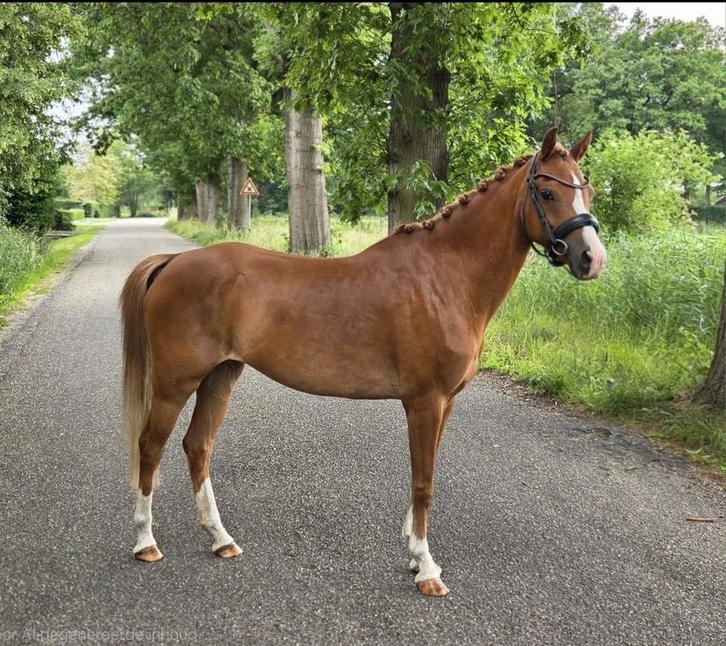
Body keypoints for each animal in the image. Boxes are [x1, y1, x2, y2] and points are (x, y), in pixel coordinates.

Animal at [120, 127, 606, 597]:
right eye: (547, 193)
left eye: (588, 189)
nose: (592, 259)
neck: (444, 277)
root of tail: (174, 262)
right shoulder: (425, 401)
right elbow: (424, 482)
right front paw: (426, 569)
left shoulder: (444, 403)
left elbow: (424, 476)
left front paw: (415, 555)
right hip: (174, 383)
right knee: (150, 446)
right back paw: (146, 543)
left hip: (221, 376)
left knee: (197, 445)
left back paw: (221, 539)